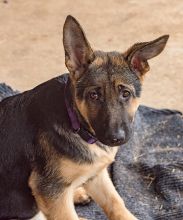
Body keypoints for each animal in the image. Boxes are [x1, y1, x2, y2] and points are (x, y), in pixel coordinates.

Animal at [0, 15, 169, 220]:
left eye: (126, 94)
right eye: (94, 95)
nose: (116, 138)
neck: (75, 122)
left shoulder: (97, 173)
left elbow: (115, 202)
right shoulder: (49, 189)